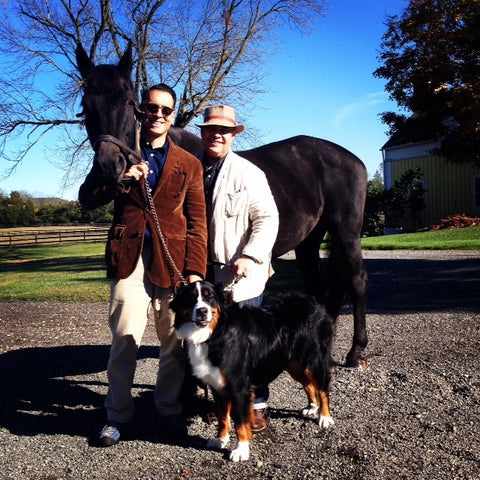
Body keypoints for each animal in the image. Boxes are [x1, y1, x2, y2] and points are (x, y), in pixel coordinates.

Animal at [76, 45, 368, 368]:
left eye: (129, 102)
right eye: (86, 105)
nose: (108, 167)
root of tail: (349, 157)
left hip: (346, 233)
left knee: (356, 281)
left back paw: (355, 351)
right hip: (308, 241)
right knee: (318, 287)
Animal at [172, 282, 334, 462]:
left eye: (210, 297)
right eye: (191, 297)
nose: (202, 311)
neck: (215, 334)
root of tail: (315, 303)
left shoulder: (238, 386)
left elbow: (241, 422)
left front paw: (241, 450)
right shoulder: (217, 386)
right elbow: (222, 417)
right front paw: (221, 439)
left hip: (314, 360)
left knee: (322, 388)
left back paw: (325, 417)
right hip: (294, 364)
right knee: (309, 384)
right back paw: (312, 407)